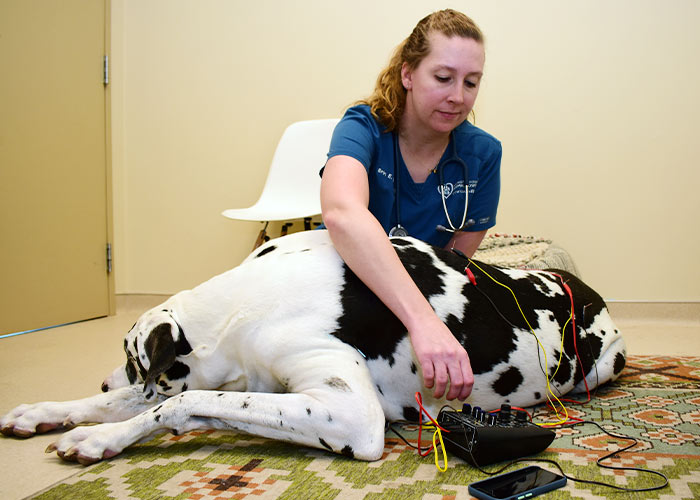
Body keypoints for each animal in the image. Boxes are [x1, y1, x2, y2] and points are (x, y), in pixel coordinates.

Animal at [0, 230, 624, 464]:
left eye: (132, 361)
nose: (108, 377)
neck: (246, 306)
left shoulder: (351, 414)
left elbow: (177, 402)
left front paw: (99, 438)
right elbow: (150, 403)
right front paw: (47, 412)